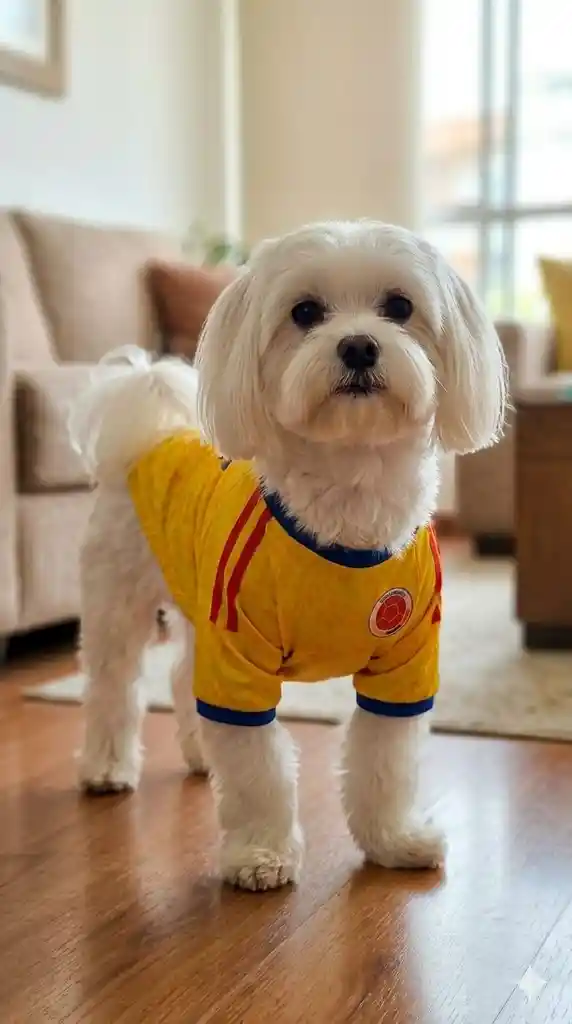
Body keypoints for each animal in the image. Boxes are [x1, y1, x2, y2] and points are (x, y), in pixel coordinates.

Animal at [69, 220, 506, 891]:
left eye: (399, 307)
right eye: (305, 312)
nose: (358, 347)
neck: (349, 500)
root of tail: (153, 432)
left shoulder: (403, 663)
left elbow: (386, 761)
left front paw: (393, 841)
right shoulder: (238, 660)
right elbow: (259, 770)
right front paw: (259, 854)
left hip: (197, 605)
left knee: (179, 677)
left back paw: (199, 756)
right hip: (120, 600)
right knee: (113, 687)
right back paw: (108, 766)